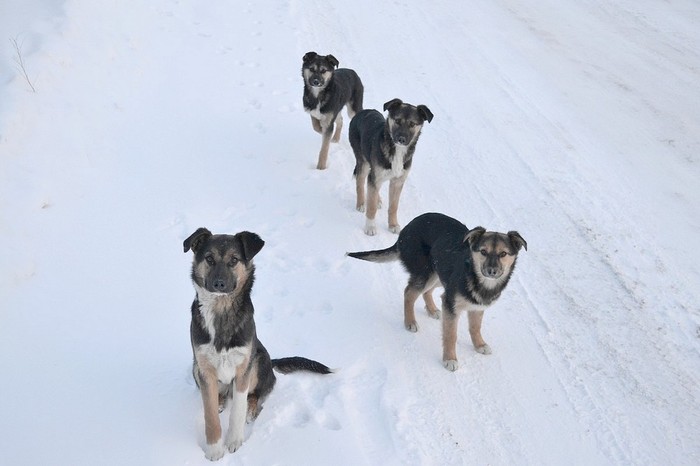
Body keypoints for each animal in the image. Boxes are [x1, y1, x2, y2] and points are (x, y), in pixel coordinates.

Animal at [183, 228, 330, 460]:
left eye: (234, 260)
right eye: (209, 259)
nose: (219, 284)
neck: (222, 312)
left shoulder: (244, 369)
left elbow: (238, 409)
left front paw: (234, 441)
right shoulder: (204, 370)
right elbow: (210, 416)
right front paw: (215, 449)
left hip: (259, 360)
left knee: (257, 394)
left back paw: (251, 411)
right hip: (194, 368)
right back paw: (221, 401)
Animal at [348, 214, 528, 372]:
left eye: (503, 254)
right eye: (483, 252)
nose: (491, 271)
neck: (474, 275)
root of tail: (405, 230)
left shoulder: (476, 307)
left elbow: (475, 327)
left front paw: (479, 345)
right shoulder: (451, 304)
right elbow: (451, 334)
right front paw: (450, 359)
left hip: (437, 272)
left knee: (426, 292)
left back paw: (432, 310)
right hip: (425, 273)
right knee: (409, 293)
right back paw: (410, 321)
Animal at [350, 99, 432, 237]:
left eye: (412, 124)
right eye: (397, 120)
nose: (401, 139)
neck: (397, 150)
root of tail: (362, 112)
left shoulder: (397, 182)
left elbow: (393, 206)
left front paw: (393, 225)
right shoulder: (376, 175)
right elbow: (371, 206)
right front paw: (370, 227)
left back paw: (377, 199)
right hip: (364, 162)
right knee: (360, 181)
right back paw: (361, 203)